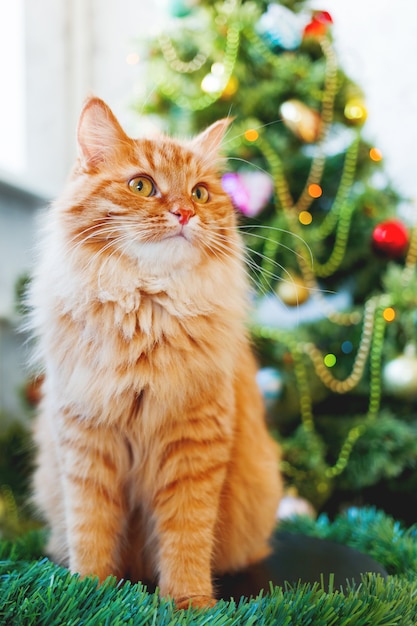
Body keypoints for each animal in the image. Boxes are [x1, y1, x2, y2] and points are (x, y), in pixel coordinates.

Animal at [30, 96, 282, 604]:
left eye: (201, 193)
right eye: (141, 186)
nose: (185, 212)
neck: (146, 309)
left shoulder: (194, 444)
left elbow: (186, 537)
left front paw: (190, 603)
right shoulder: (86, 442)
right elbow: (90, 530)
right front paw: (87, 593)